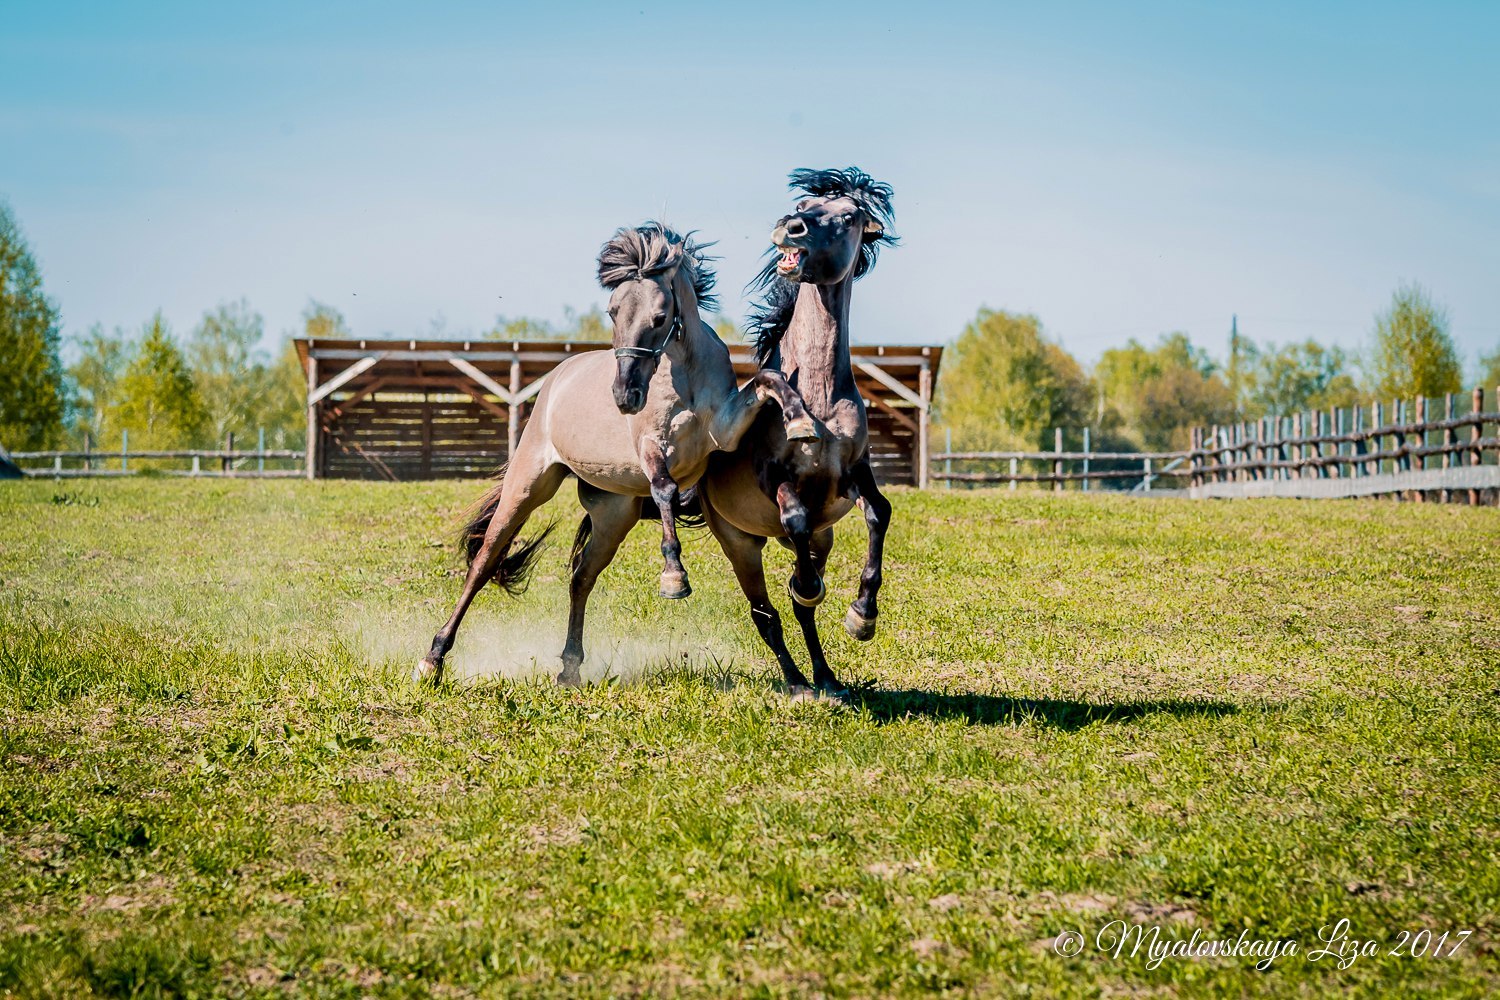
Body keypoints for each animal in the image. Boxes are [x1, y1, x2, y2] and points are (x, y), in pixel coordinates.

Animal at [414, 221, 822, 683]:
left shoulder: (725, 429)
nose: (625, 395)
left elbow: (769, 380)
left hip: (614, 515)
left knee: (581, 577)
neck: (683, 373)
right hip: (527, 488)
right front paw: (673, 576)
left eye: (660, 318)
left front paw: (800, 419)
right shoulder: (650, 445)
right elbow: (663, 488)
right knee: (483, 563)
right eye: (612, 311)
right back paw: (433, 658)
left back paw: (570, 667)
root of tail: (556, 379)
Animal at [696, 166, 894, 695]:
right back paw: (799, 680)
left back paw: (825, 676)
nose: (792, 226)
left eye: (850, 216)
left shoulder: (852, 471)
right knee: (766, 615)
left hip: (824, 539)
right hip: (740, 544)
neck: (818, 392)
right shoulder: (774, 476)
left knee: (800, 607)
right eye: (804, 204)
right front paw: (807, 588)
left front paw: (862, 616)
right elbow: (796, 517)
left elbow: (879, 513)